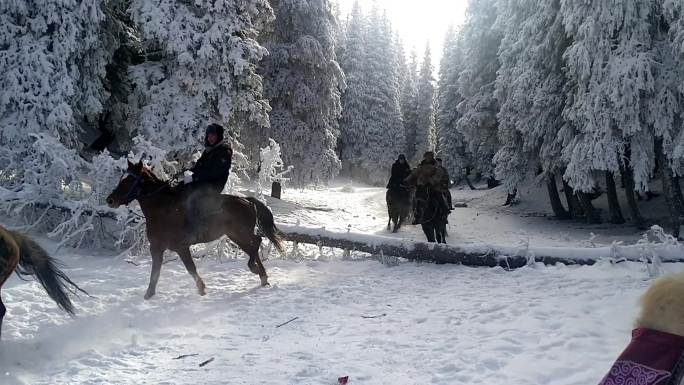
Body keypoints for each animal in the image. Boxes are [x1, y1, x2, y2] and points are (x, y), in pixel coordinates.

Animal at [107, 160, 284, 298]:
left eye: (129, 180)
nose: (110, 200)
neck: (163, 210)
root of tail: (247, 200)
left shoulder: (181, 247)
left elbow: (190, 268)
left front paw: (201, 289)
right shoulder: (156, 247)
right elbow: (155, 271)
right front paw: (149, 294)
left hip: (240, 233)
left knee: (257, 242)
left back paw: (255, 269)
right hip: (236, 236)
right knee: (253, 247)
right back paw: (262, 277)